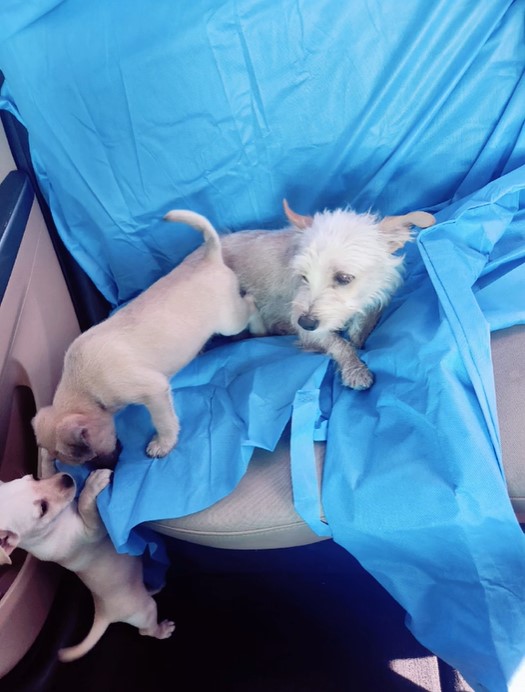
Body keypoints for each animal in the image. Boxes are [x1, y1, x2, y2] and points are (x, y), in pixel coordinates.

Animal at [31, 208, 256, 462]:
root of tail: (210, 258)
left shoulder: (154, 392)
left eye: (88, 457)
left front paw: (164, 443)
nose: (111, 467)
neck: (86, 389)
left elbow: (163, 421)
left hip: (231, 321)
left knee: (250, 303)